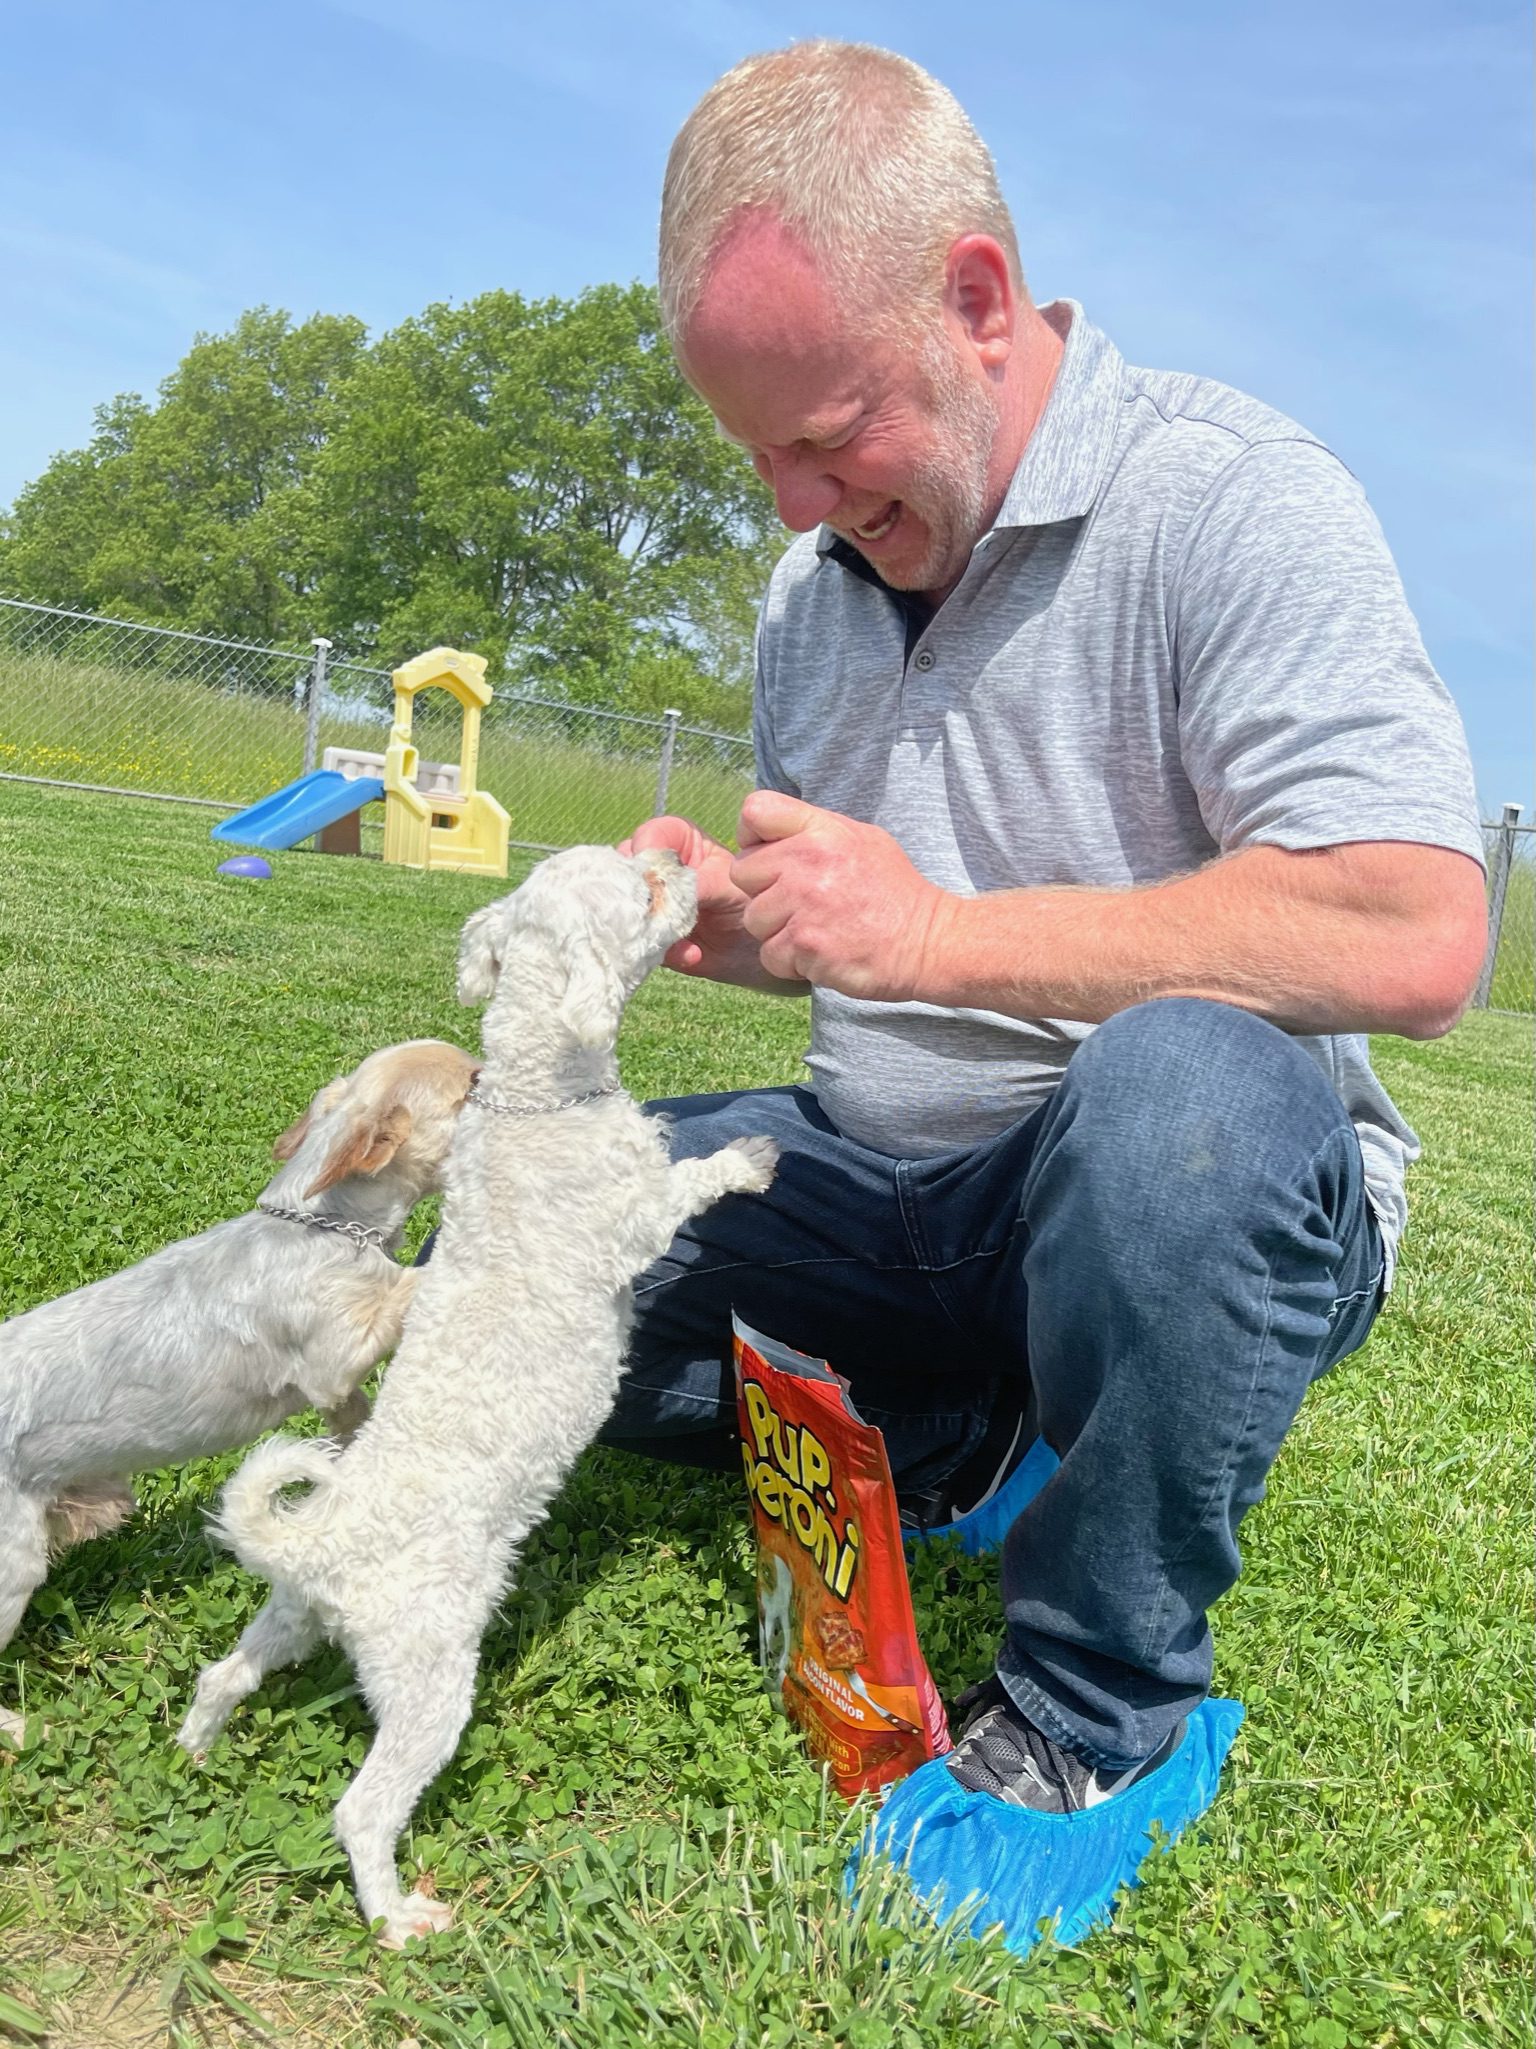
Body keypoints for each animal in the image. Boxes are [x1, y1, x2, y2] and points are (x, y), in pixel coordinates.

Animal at [0, 1032, 481, 1737]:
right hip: (11, 1566)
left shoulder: (337, 1394)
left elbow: (352, 1419)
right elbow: (407, 1287)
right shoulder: (335, 1354)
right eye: (474, 1082)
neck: (321, 1226)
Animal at [180, 848, 782, 1950]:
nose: (675, 856)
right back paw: (398, 1915)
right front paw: (748, 1158)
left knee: (223, 1675)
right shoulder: (632, 1220)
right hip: (427, 1675)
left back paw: (195, 1749)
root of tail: (325, 1544)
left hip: (290, 1615)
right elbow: (685, 1187)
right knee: (362, 1809)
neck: (541, 1100)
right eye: (640, 887)